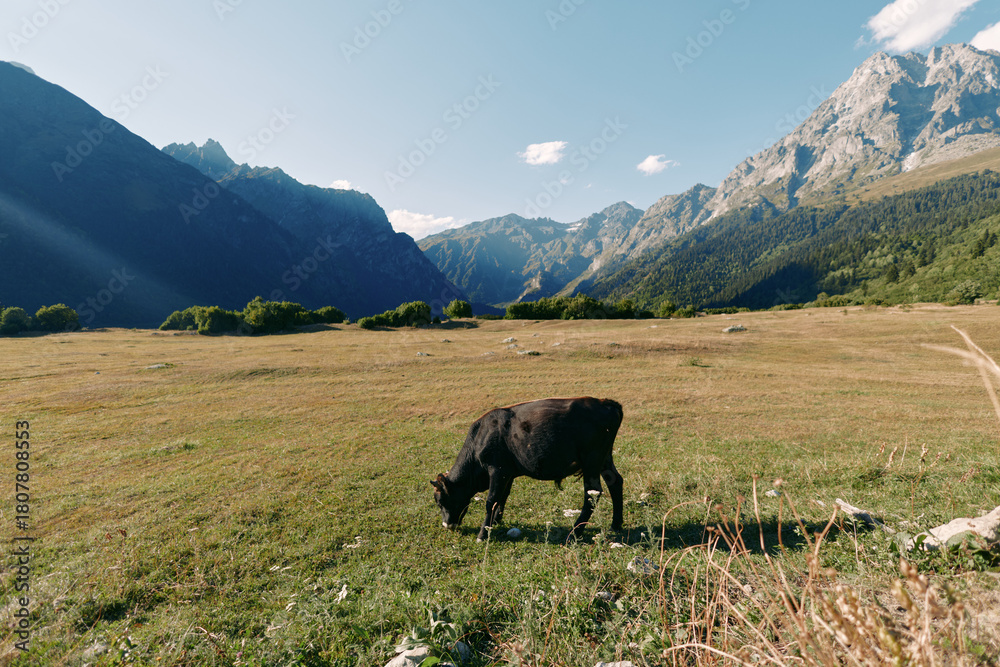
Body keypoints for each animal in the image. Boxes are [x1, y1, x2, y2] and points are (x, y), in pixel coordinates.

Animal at [431, 397, 624, 541]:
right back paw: (615, 525)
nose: (447, 525)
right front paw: (496, 521)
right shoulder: (507, 474)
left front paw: (483, 533)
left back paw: (574, 533)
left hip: (592, 462)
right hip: (604, 460)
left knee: (592, 494)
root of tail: (606, 403)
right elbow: (502, 498)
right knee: (615, 483)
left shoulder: (497, 470)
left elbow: (491, 501)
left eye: (441, 501)